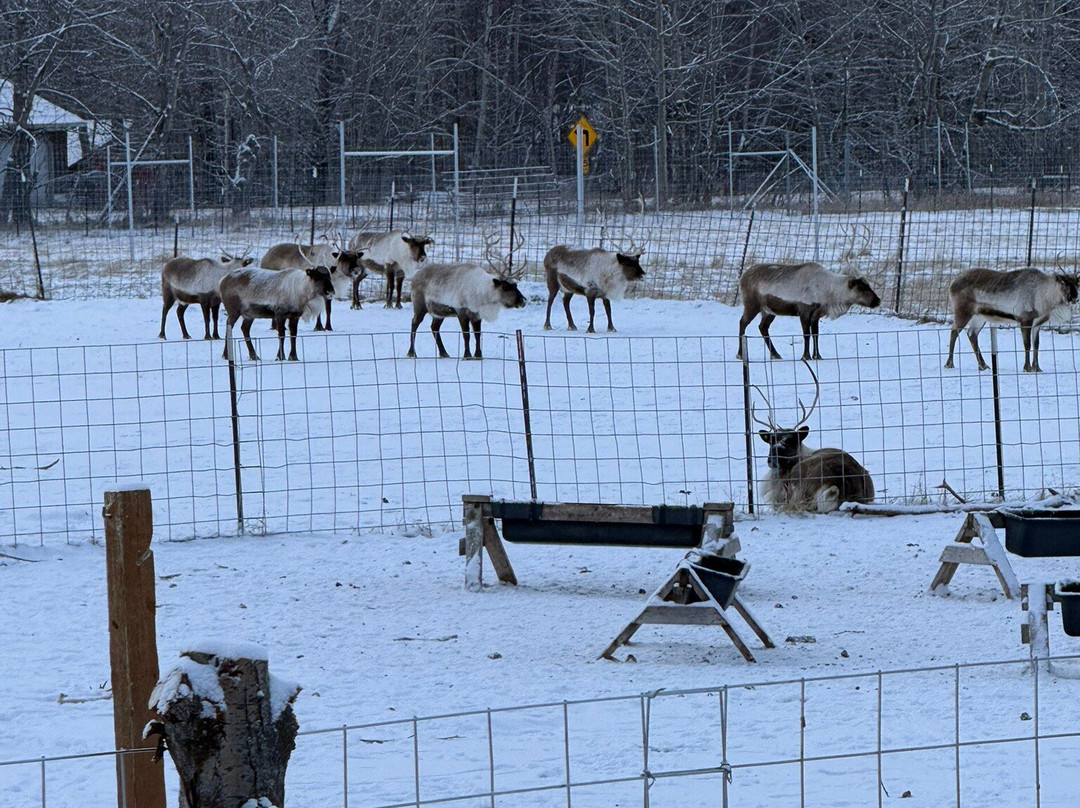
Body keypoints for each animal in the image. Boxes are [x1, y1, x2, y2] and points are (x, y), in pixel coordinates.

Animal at [736, 262, 881, 360]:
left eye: (868, 286)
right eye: (862, 288)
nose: (878, 300)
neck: (828, 293)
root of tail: (742, 277)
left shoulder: (816, 315)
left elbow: (816, 335)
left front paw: (817, 356)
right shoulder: (804, 311)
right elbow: (806, 335)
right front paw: (806, 356)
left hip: (769, 311)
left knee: (762, 327)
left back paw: (775, 354)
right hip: (752, 305)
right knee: (742, 323)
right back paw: (740, 354)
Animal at [944, 267, 1079, 373]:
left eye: (1077, 283)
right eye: (1064, 283)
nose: (1074, 297)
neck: (1044, 295)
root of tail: (952, 283)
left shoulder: (1037, 324)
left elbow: (1036, 344)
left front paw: (1037, 368)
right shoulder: (1025, 319)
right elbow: (1027, 344)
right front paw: (1027, 368)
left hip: (979, 317)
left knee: (971, 334)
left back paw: (983, 365)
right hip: (963, 312)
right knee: (954, 331)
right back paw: (949, 364)